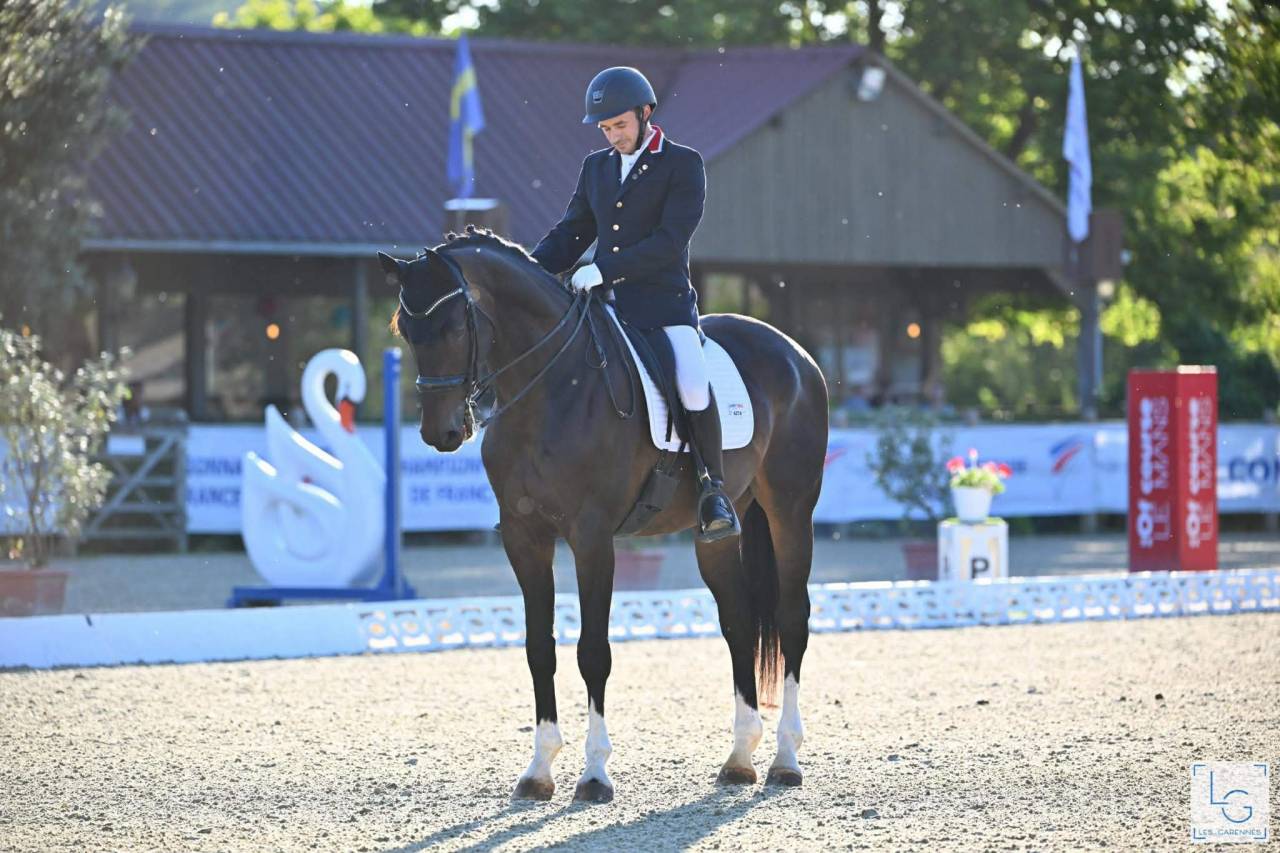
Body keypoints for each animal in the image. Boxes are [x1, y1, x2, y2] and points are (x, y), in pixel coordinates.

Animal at [380, 227, 828, 803]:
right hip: (717, 534)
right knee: (739, 621)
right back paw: (739, 758)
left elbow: (593, 650)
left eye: (457, 325)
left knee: (793, 617)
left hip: (791, 511)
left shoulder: (592, 538)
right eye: (406, 328)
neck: (550, 391)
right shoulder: (525, 538)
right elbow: (539, 648)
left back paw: (785, 759)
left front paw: (594, 774)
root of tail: (796, 352)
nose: (442, 433)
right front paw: (539, 770)